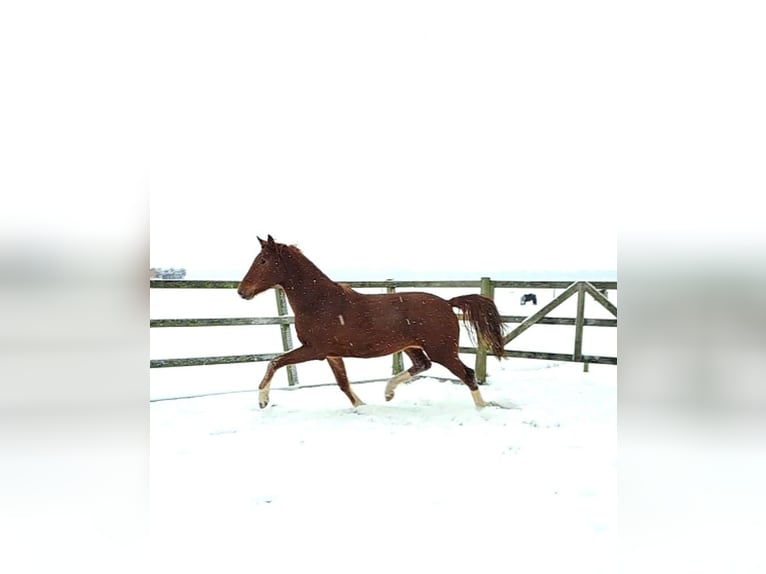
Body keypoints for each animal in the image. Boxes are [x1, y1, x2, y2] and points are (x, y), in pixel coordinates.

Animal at [237, 235, 508, 409]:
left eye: (262, 261)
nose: (242, 292)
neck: (319, 302)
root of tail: (447, 302)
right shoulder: (333, 354)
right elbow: (343, 383)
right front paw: (361, 406)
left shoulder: (316, 350)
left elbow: (275, 362)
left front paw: (262, 401)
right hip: (412, 347)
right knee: (423, 365)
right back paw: (388, 393)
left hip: (442, 350)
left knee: (467, 374)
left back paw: (482, 408)